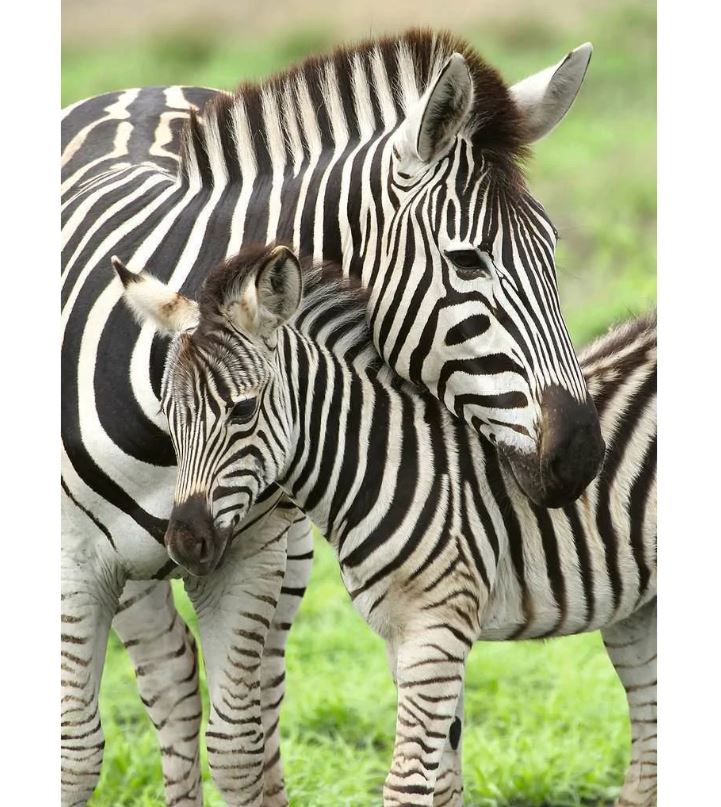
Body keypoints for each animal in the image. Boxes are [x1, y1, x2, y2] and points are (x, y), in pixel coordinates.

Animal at [61, 30, 602, 805]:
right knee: (169, 678)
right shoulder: (73, 562)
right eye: (467, 261)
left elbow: (238, 748)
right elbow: (75, 756)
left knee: (220, 695)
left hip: (281, 553)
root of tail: (139, 88)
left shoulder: (248, 556)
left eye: (554, 249)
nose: (581, 453)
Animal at [116, 243, 656, 807]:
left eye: (242, 411)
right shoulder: (406, 637)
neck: (390, 464)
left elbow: (407, 784)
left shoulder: (436, 632)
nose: (185, 542)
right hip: (639, 611)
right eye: (168, 414)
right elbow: (443, 784)